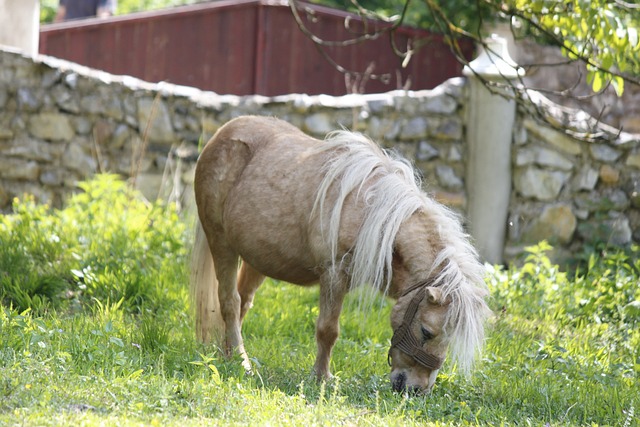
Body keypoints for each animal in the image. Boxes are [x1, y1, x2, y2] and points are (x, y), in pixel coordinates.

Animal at [191, 114, 490, 394]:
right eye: (427, 332)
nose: (417, 390)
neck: (370, 213)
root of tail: (222, 134)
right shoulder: (334, 274)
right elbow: (328, 330)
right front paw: (322, 377)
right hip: (221, 243)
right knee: (230, 302)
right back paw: (241, 362)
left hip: (258, 259)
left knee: (243, 301)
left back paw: (229, 355)